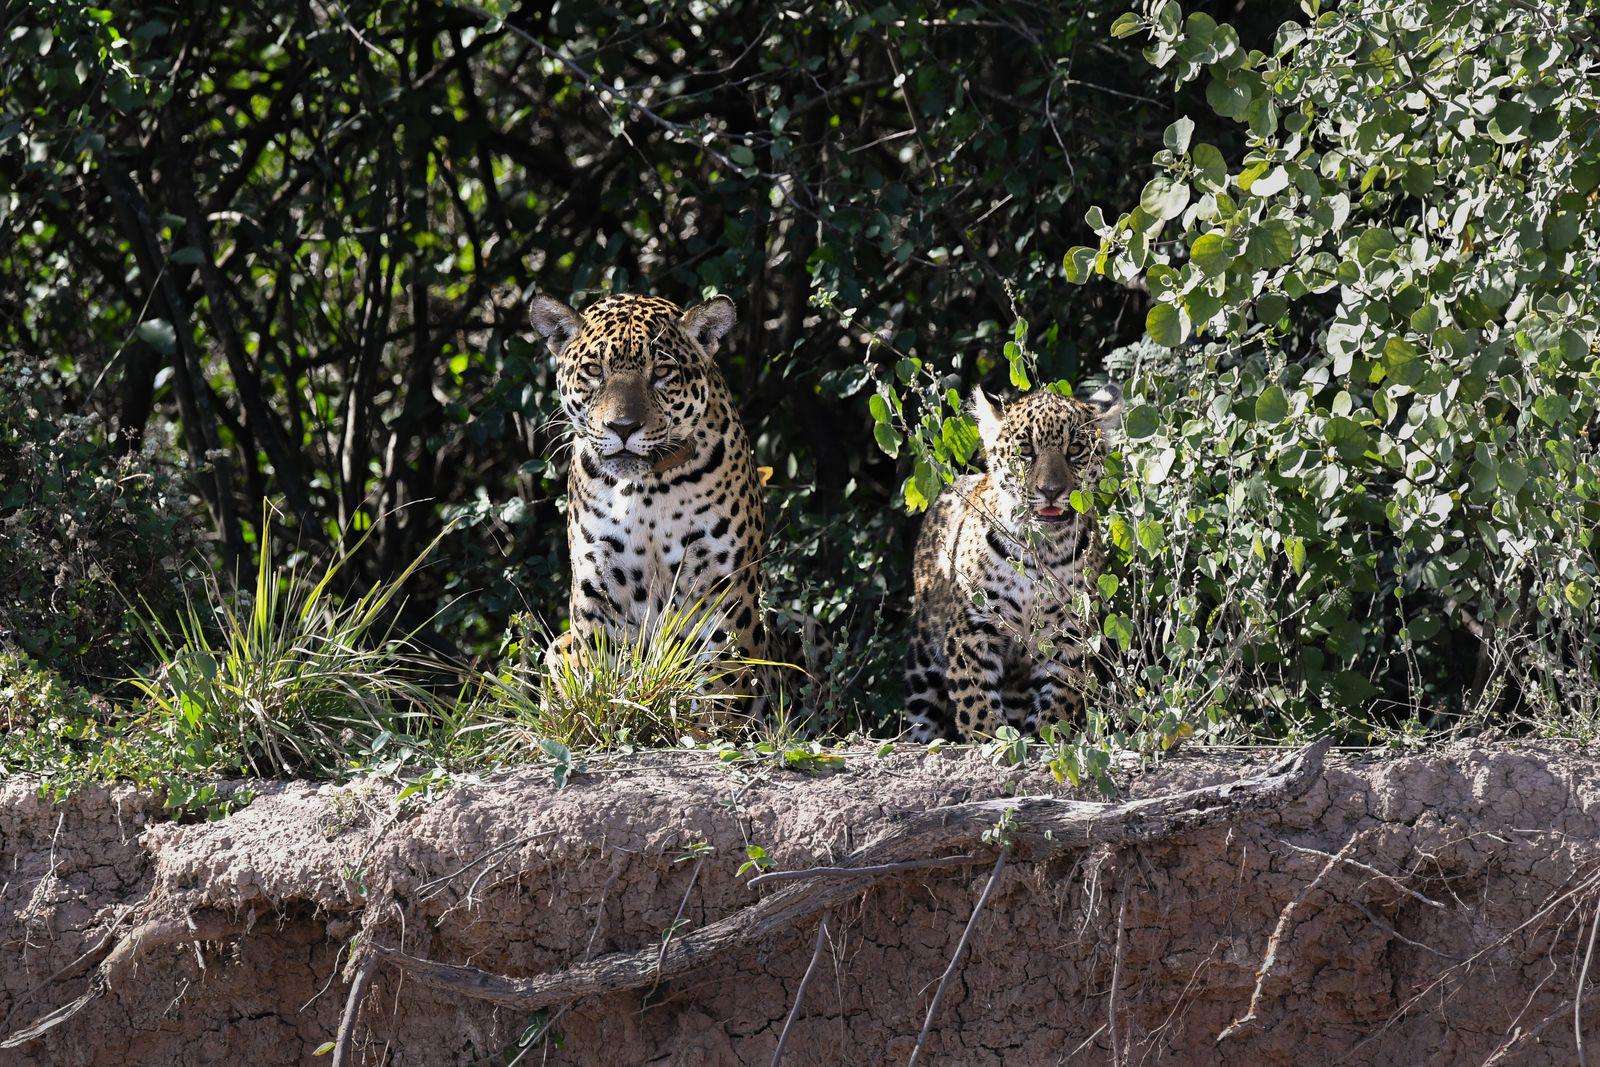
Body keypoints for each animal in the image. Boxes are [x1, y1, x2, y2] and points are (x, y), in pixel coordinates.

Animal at [529, 292, 768, 707]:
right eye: (594, 370)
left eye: (661, 373)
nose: (622, 427)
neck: (647, 491)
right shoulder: (597, 581)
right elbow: (599, 669)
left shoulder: (723, 581)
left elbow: (722, 674)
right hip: (559, 646)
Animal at [904, 381, 1124, 742]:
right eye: (1026, 451)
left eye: (1075, 450)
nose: (1051, 491)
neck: (1041, 550)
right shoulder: (973, 627)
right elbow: (975, 698)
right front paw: (990, 739)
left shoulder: (1069, 631)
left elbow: (1058, 699)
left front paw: (1044, 737)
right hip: (922, 652)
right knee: (921, 707)